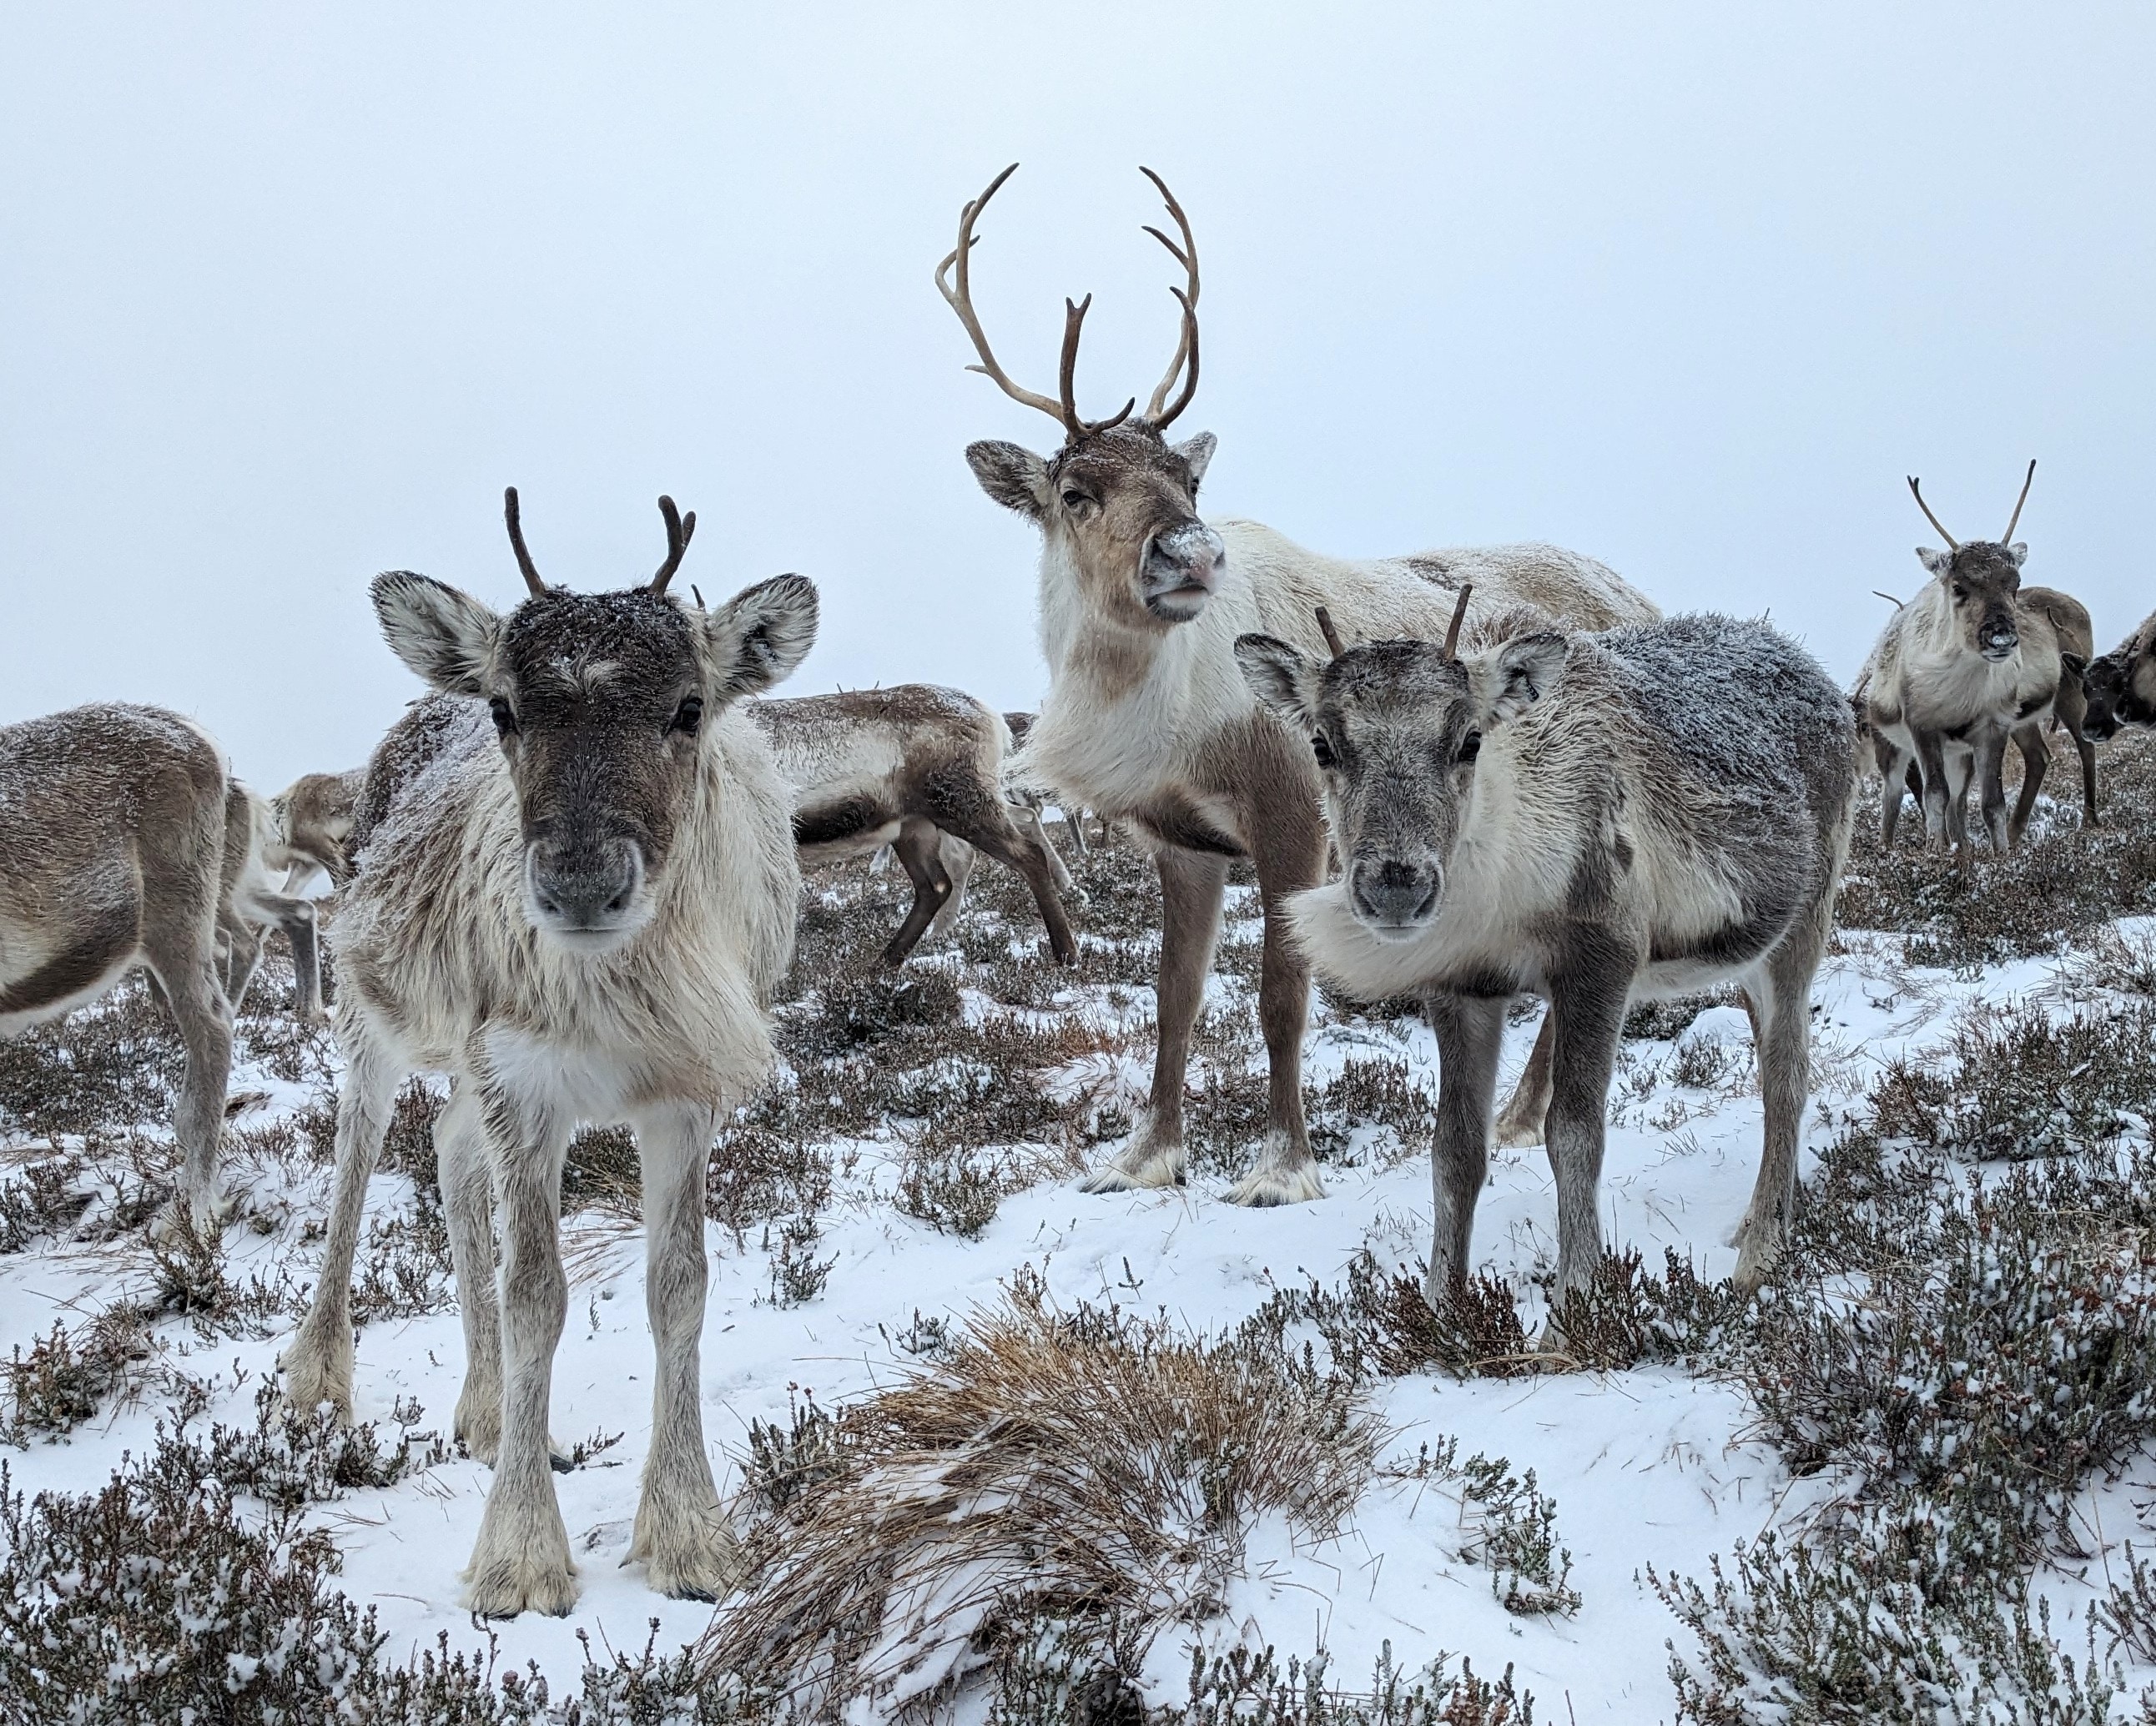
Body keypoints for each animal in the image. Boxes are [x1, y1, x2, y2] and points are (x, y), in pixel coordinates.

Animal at [278, 488, 817, 1617]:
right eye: (506, 710)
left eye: (689, 706)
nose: (579, 883)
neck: (621, 988)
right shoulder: (526, 1082)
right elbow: (538, 1292)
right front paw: (520, 1554)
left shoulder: (682, 1090)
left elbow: (679, 1283)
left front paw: (689, 1534)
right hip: (375, 1006)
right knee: (357, 1148)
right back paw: (318, 1374)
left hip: (468, 1062)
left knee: (447, 1151)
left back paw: (484, 1409)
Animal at [748, 685, 1077, 968]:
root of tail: (991, 717)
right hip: (915, 827)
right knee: (936, 885)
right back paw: (881, 965)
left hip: (962, 804)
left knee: (1028, 856)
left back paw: (1066, 954)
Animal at [937, 163, 1658, 1204]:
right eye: (1074, 490)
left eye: (1187, 481)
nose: (1190, 553)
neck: (1172, 711)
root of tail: (1634, 593)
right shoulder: (1184, 842)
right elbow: (1175, 997)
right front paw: (1144, 1156)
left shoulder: (1291, 822)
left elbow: (1282, 997)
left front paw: (1281, 1167)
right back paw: (1520, 1114)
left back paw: (1521, 1116)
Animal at [1235, 599, 1856, 1310]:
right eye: (1323, 744)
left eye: (1468, 739)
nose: (1397, 883)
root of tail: (1827, 685)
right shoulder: (1460, 986)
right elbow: (1454, 1150)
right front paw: (1440, 1305)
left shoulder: (1601, 958)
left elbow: (1575, 1135)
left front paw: (1576, 1302)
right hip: (1748, 957)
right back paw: (1754, 1224)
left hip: (1804, 925)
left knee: (1788, 1076)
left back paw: (1762, 1253)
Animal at [1855, 463, 2093, 851]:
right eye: (1958, 586)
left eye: (2014, 583)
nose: (2001, 637)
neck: (1960, 692)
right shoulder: (1923, 727)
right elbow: (1935, 796)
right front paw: (1938, 852)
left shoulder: (1994, 725)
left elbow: (1992, 802)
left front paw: (2000, 856)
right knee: (1895, 795)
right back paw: (1890, 846)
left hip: (2071, 694)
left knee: (2079, 747)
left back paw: (2085, 820)